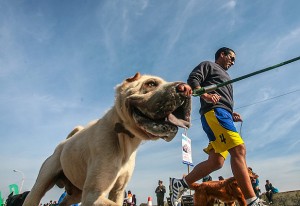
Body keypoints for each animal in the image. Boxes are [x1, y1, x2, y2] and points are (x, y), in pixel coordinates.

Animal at [24, 73, 192, 206]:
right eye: (151, 83)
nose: (187, 89)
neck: (125, 139)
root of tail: (63, 144)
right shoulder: (93, 195)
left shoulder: (117, 191)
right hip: (41, 185)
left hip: (76, 194)